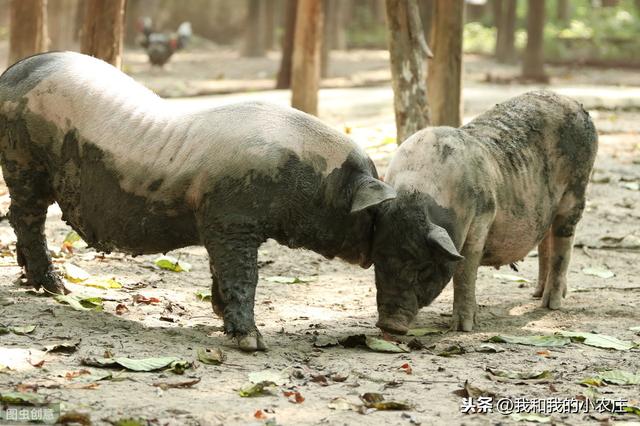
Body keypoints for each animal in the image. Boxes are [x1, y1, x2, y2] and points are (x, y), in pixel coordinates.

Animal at [0, 52, 398, 350]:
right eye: (370, 212)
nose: (371, 257)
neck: (313, 182)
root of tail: (13, 71)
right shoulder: (232, 219)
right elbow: (244, 275)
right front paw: (252, 343)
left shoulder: (216, 221)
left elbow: (220, 271)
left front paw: (222, 319)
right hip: (24, 160)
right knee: (25, 216)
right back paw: (56, 287)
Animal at [372, 91, 596, 334]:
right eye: (378, 262)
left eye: (424, 268)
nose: (389, 325)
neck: (416, 192)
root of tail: (574, 102)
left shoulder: (482, 219)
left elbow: (464, 272)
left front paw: (462, 328)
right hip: (548, 209)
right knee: (546, 240)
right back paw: (537, 294)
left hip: (576, 189)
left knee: (563, 244)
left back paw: (551, 304)